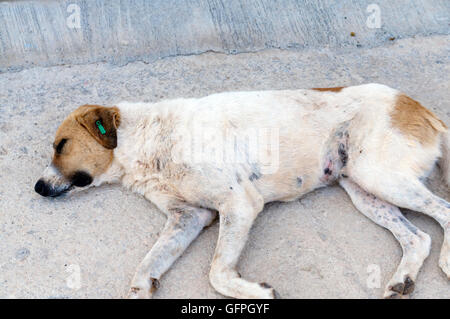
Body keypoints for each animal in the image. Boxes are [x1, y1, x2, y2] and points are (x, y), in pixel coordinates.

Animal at [36, 84, 450, 300]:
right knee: (418, 238)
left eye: (61, 145)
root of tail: (419, 107)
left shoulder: (238, 202)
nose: (37, 187)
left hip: (378, 174)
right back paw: (402, 281)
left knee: (443, 210)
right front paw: (142, 287)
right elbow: (148, 263)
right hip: (363, 190)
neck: (145, 142)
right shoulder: (189, 216)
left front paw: (256, 291)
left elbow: (217, 271)